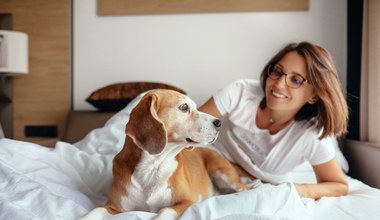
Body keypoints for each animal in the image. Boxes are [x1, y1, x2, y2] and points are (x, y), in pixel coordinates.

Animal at [79, 89, 246, 220]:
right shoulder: (114, 207)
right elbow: (97, 209)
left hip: (222, 172)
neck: (153, 165)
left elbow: (165, 210)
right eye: (184, 107)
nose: (219, 123)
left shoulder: (186, 202)